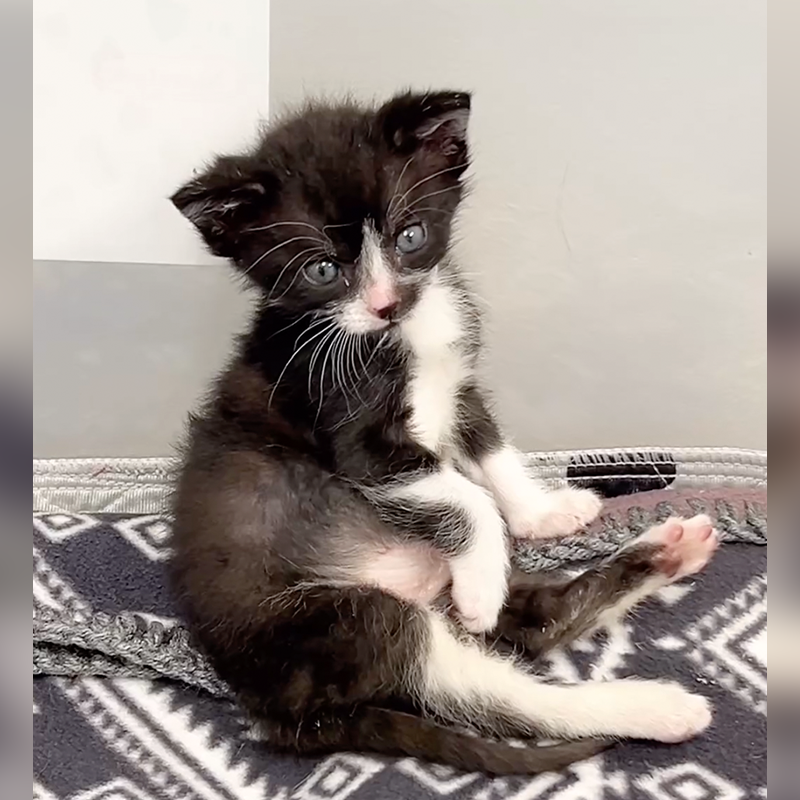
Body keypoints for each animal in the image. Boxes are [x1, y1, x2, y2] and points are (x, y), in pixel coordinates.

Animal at [169, 89, 720, 776]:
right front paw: (483, 575)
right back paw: (646, 703)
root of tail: (278, 710)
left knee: (541, 624)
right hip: (344, 625)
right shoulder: (357, 435)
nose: (386, 304)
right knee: (506, 694)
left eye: (411, 236)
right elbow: (465, 495)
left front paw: (542, 513)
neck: (403, 335)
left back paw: (671, 551)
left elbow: (493, 454)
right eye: (322, 270)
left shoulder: (459, 389)